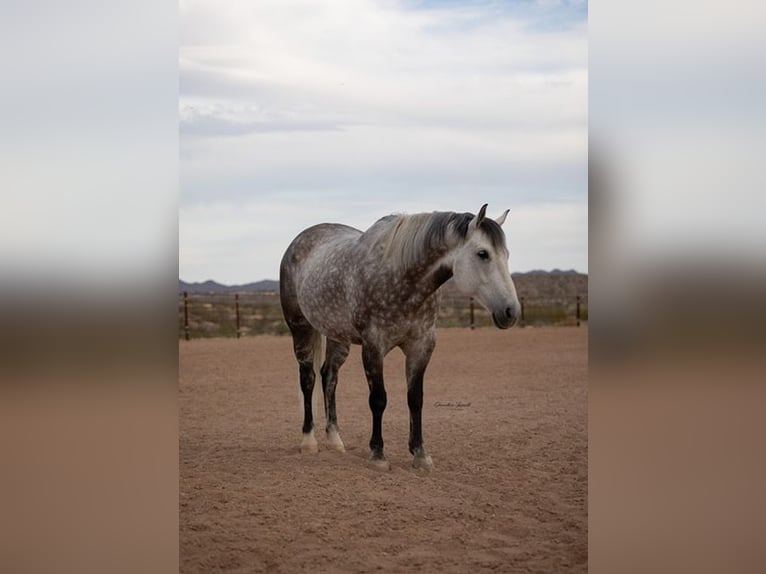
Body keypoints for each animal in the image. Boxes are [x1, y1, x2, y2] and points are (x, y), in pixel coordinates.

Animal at [279, 204, 520, 471]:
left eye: (506, 254)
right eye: (482, 253)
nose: (511, 311)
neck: (401, 277)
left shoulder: (422, 346)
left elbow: (415, 399)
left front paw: (420, 454)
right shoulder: (373, 346)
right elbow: (378, 399)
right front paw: (378, 455)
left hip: (337, 336)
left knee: (329, 377)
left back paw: (335, 441)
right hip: (300, 328)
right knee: (308, 379)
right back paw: (309, 442)